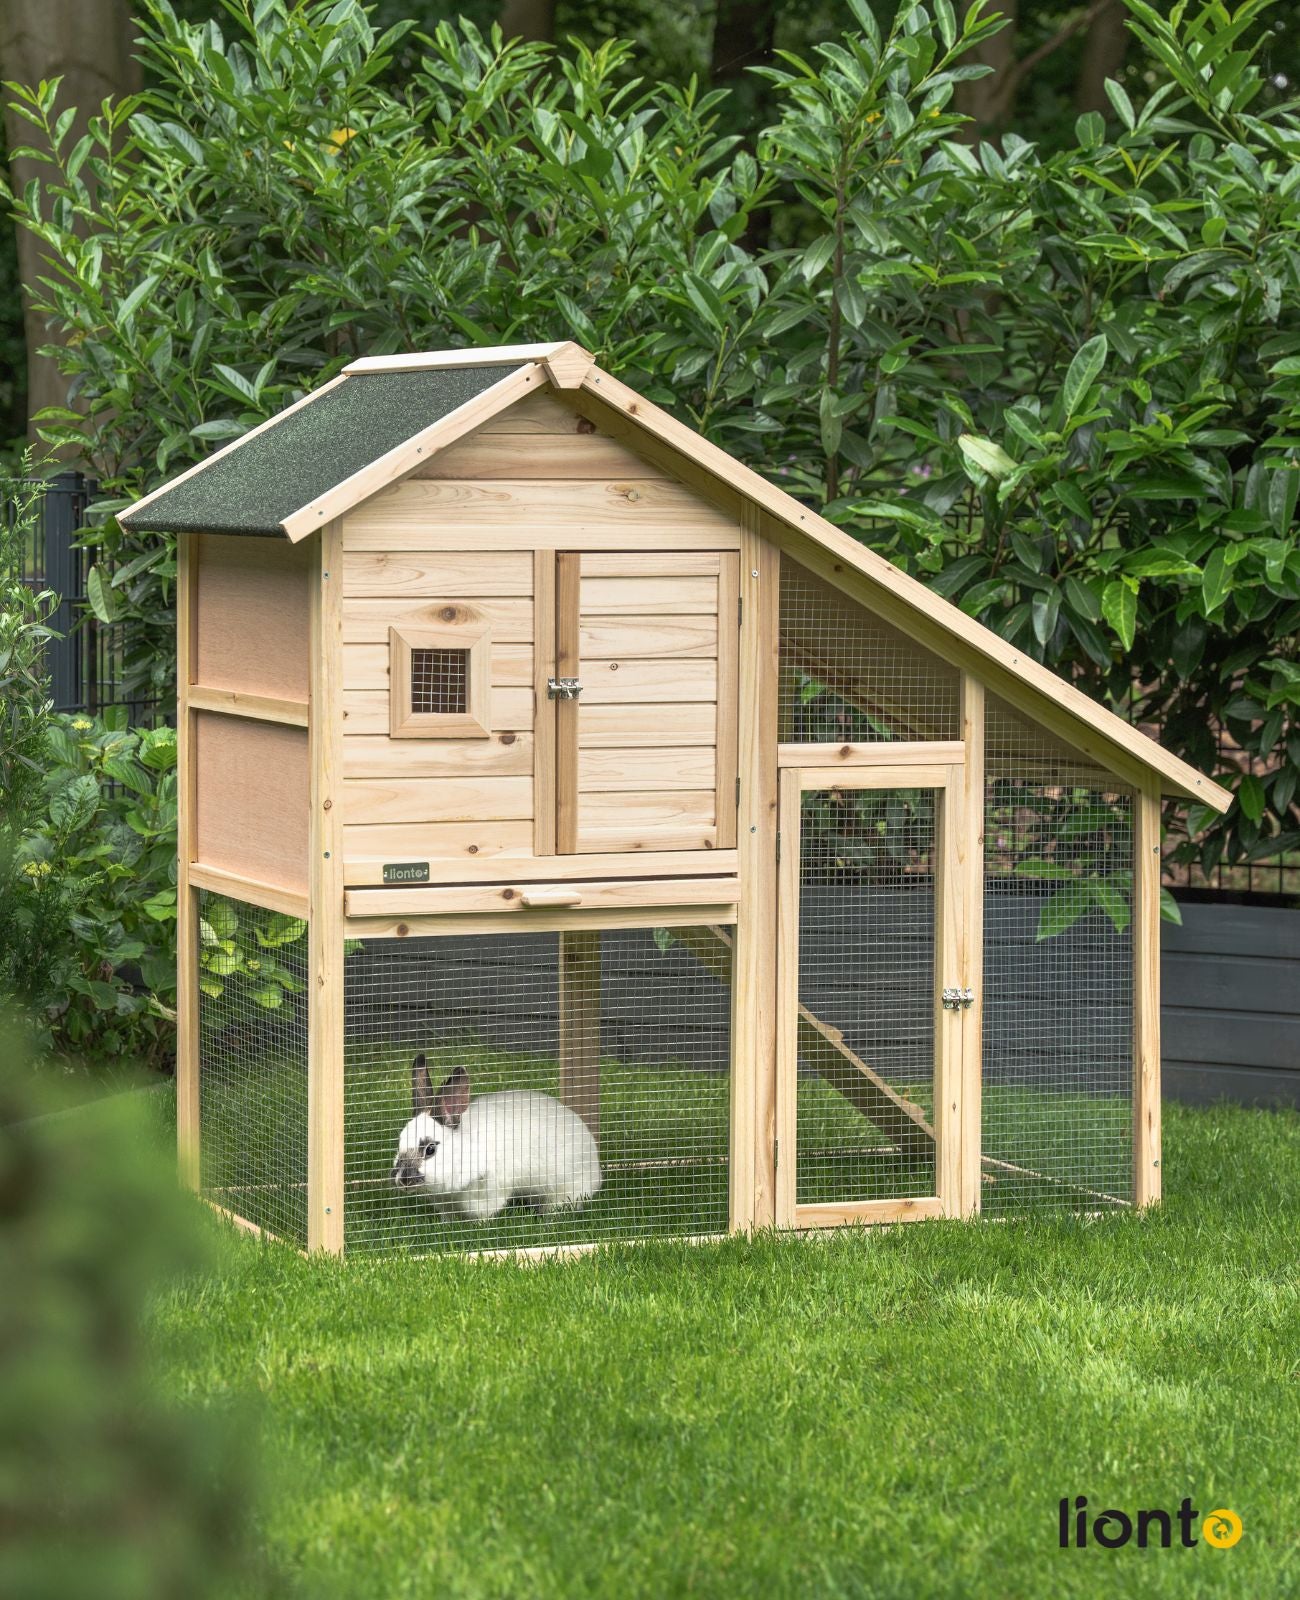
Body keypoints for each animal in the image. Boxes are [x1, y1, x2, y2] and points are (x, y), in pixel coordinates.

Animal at [391, 1055, 602, 1221]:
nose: (403, 1181)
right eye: (399, 1142)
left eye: (430, 1149)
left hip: (563, 1189)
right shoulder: (445, 1205)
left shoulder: (488, 1194)